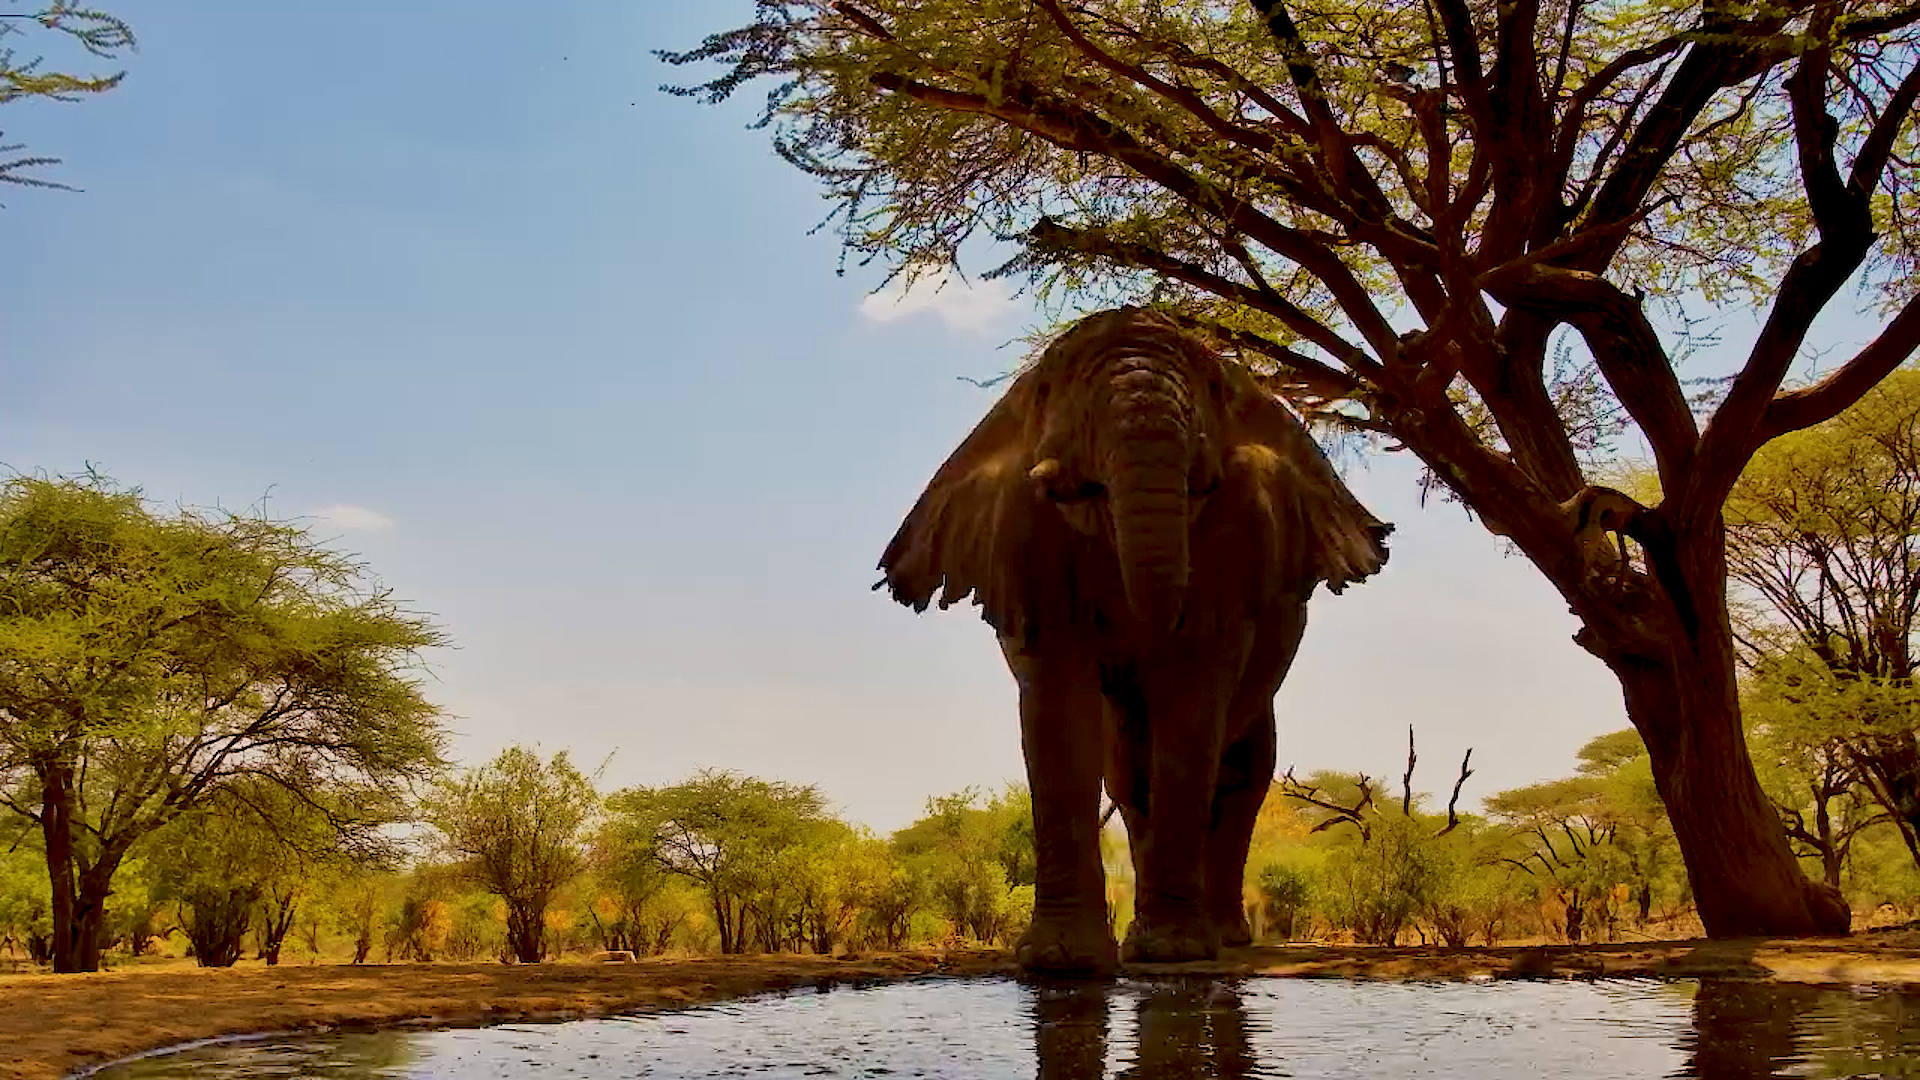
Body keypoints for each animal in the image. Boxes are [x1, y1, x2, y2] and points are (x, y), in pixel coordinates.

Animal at [878, 307, 1390, 973]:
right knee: (1131, 774)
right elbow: (1061, 711)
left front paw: (1172, 954)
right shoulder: (1024, 545)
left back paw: (1219, 939)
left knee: (1240, 771)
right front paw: (1063, 961)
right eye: (1049, 386)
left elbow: (1191, 701)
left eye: (1217, 388)